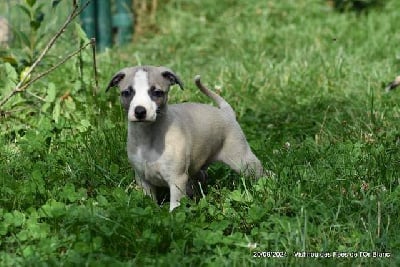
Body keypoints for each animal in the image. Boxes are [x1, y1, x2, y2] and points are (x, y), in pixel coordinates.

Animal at [106, 66, 266, 211]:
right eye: (127, 93)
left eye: (157, 92)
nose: (140, 111)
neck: (149, 135)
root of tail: (226, 112)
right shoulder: (143, 179)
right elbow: (149, 200)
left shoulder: (177, 179)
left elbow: (175, 206)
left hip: (242, 160)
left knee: (262, 172)